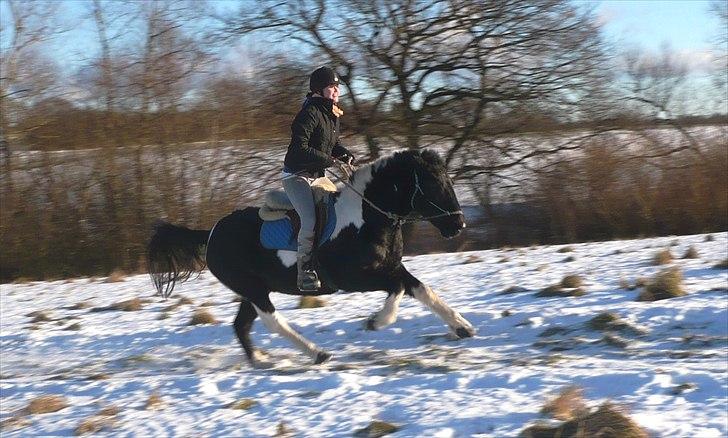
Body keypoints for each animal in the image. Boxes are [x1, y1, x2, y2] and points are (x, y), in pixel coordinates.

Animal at [147, 148, 476, 367]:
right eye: (432, 183)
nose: (458, 224)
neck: (366, 217)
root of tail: (212, 232)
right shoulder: (355, 278)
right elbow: (397, 290)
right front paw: (376, 322)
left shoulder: (391, 267)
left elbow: (421, 289)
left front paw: (462, 327)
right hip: (252, 289)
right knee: (271, 320)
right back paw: (317, 353)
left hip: (253, 290)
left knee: (241, 325)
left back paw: (260, 359)